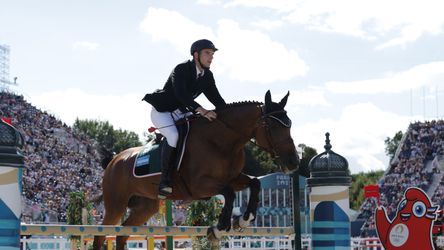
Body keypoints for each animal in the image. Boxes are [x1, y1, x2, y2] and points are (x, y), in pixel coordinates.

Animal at [93, 91, 302, 249]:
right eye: (273, 126)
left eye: (290, 125)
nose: (294, 163)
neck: (221, 141)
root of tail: (114, 159)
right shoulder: (199, 186)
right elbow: (229, 193)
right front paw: (219, 228)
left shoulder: (233, 178)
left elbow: (255, 182)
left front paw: (243, 219)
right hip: (116, 205)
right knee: (101, 234)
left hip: (145, 207)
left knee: (122, 235)